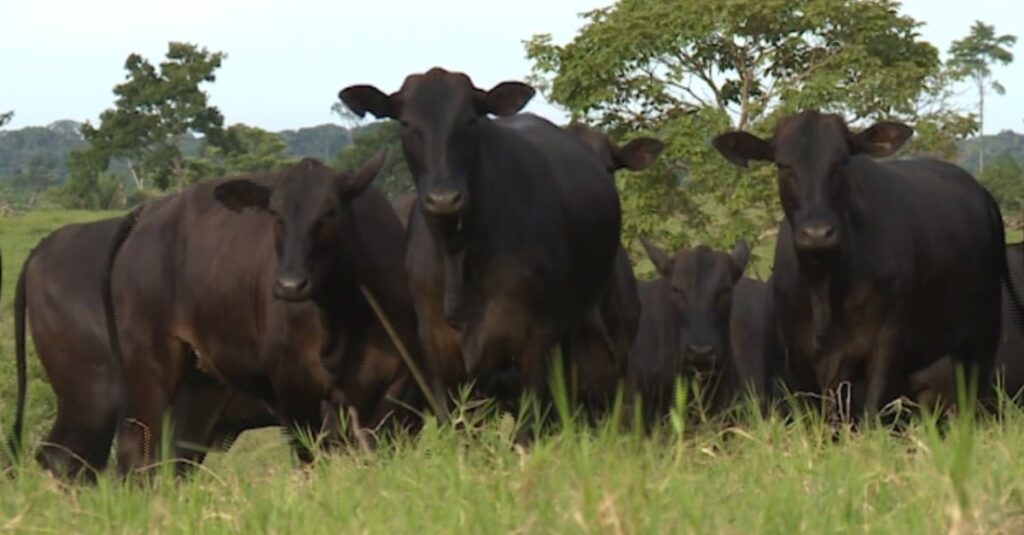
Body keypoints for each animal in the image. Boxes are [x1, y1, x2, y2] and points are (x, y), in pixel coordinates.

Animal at [105, 152, 437, 473]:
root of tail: (147, 216)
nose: (290, 285)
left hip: (201, 386)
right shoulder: (294, 392)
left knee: (177, 457)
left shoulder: (394, 388)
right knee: (138, 455)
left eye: (329, 212)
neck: (339, 322)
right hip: (148, 365)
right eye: (276, 215)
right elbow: (311, 459)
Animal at [339, 69, 622, 422]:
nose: (443, 199)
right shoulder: (434, 352)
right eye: (406, 123)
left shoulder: (535, 341)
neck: (458, 253)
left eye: (469, 120)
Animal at [713, 111, 1024, 418]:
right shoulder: (800, 359)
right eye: (783, 165)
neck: (823, 288)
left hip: (982, 334)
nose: (817, 233)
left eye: (841, 161)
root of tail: (980, 191)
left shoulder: (887, 344)